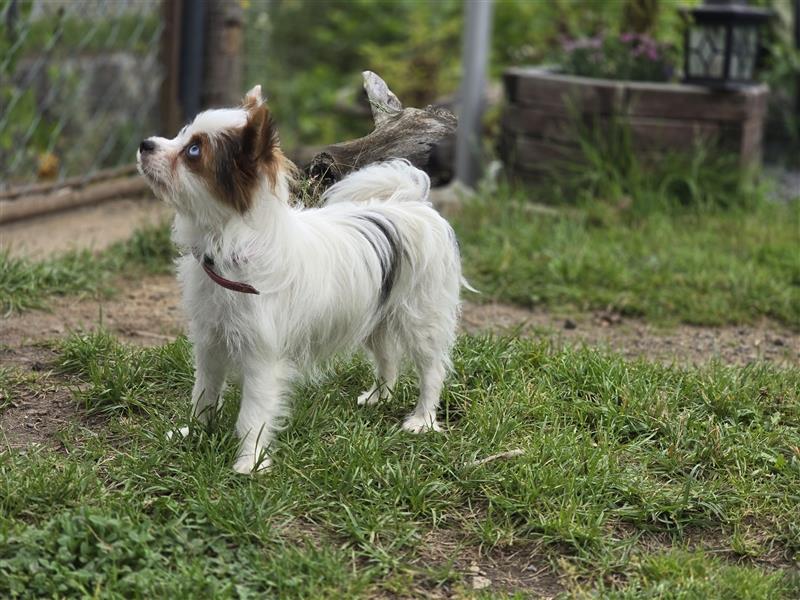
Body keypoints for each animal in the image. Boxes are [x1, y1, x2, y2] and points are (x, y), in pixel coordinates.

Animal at [138, 86, 462, 476]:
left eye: (194, 151)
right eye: (182, 136)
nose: (144, 144)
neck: (230, 245)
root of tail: (409, 202)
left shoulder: (262, 357)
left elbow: (252, 415)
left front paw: (249, 463)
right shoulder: (210, 343)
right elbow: (204, 394)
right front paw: (195, 434)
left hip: (420, 319)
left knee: (431, 369)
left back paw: (421, 420)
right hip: (375, 318)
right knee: (388, 359)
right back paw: (378, 397)